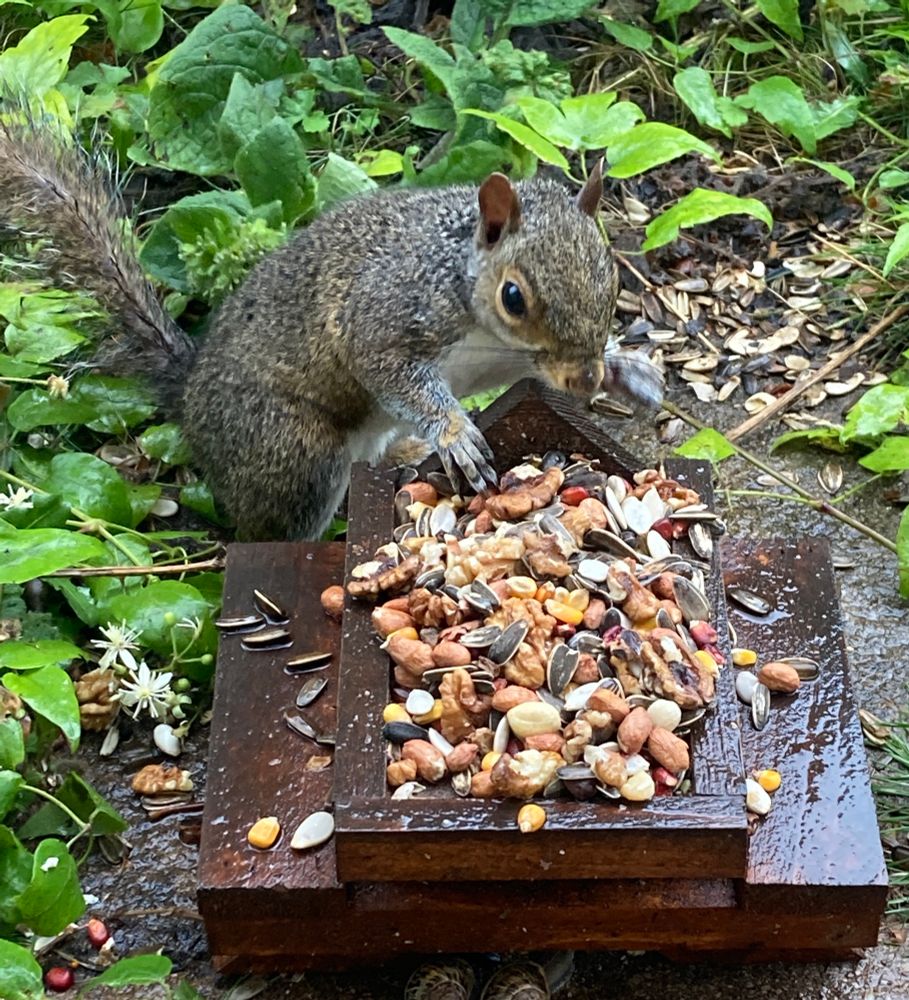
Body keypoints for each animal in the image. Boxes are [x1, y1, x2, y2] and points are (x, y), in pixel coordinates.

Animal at [0, 122, 663, 541]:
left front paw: (629, 371)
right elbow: (390, 369)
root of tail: (188, 402)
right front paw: (455, 436)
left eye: (610, 275)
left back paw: (405, 452)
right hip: (294, 455)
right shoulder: (384, 315)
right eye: (514, 297)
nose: (584, 381)